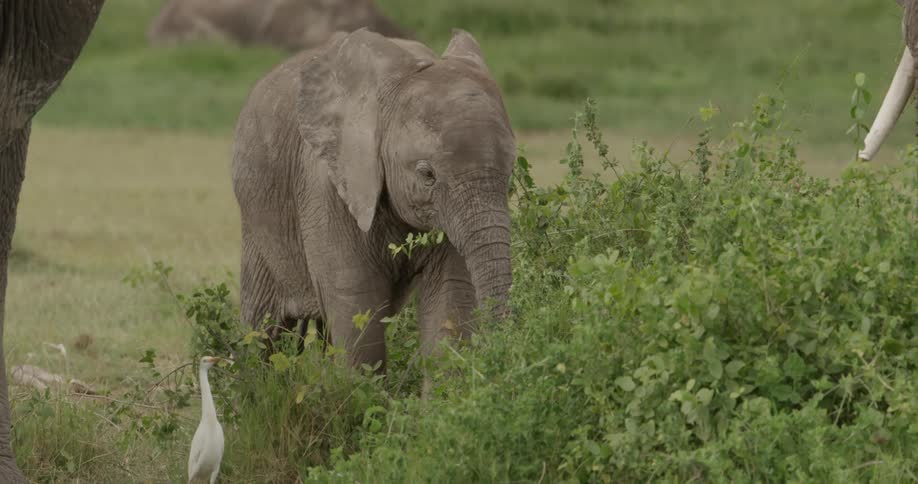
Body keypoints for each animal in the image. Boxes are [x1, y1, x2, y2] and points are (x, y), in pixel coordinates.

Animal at [232, 29, 515, 375]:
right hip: (256, 219)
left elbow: (450, 304)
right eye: (427, 175)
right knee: (262, 329)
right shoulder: (325, 184)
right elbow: (357, 309)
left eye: (510, 170)